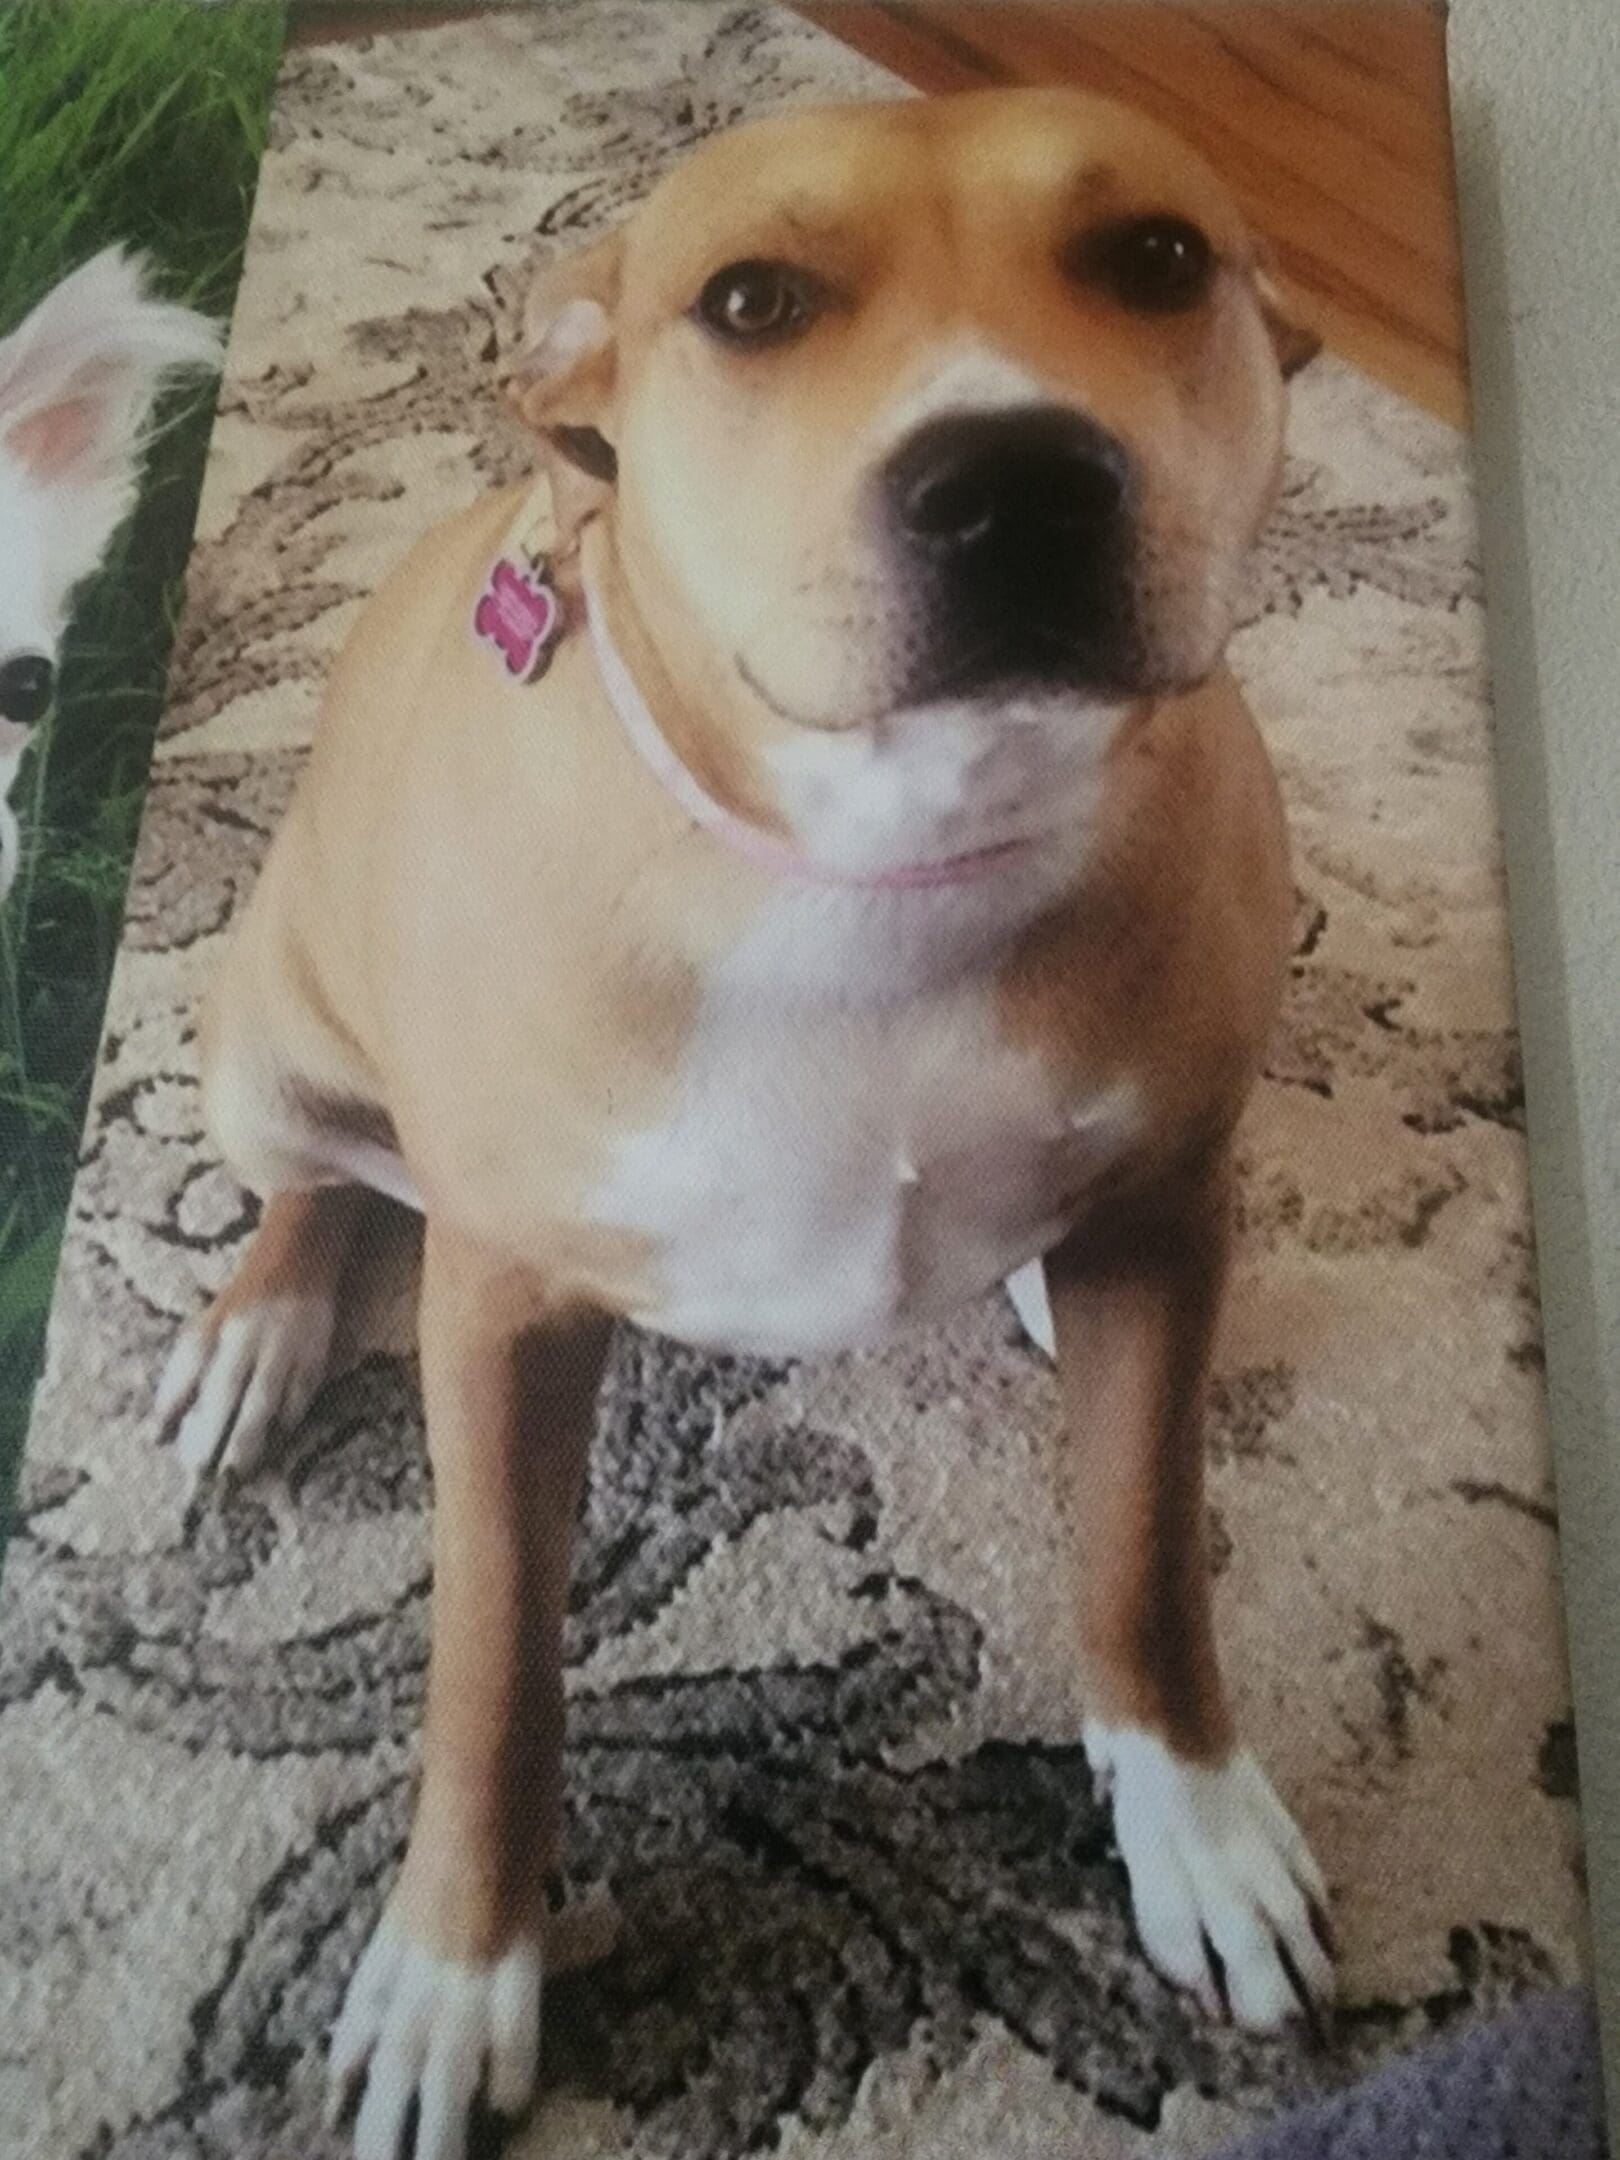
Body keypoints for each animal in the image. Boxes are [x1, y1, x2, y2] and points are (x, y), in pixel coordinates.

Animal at [162, 92, 1330, 2160]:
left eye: (1159, 258)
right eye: (751, 300)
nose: (1014, 477)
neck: (888, 858)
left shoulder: (1177, 1211)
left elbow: (1143, 1549)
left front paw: (1192, 1823)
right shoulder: (502, 1314)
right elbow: (491, 1665)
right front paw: (456, 1972)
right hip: (261, 1037)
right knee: (318, 1185)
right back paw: (261, 1331)